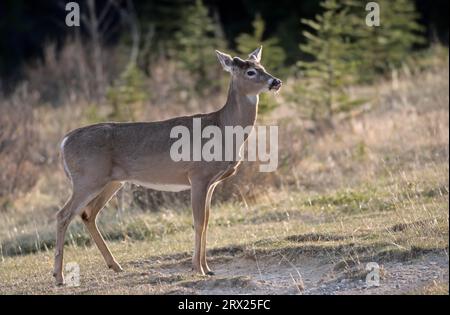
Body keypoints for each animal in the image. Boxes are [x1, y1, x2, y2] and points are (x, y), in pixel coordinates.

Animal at [53, 47, 282, 286]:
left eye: (262, 67)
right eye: (250, 72)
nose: (276, 81)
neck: (223, 129)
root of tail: (64, 141)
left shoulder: (211, 182)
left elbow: (207, 220)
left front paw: (208, 268)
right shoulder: (198, 175)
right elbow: (198, 221)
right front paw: (198, 269)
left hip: (111, 181)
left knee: (88, 214)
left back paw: (115, 266)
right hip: (88, 178)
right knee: (63, 214)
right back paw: (59, 277)